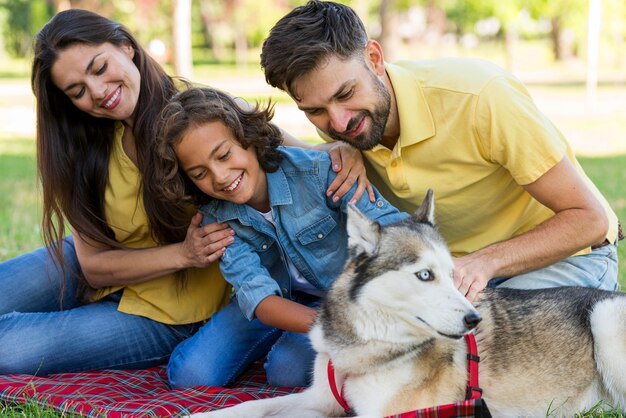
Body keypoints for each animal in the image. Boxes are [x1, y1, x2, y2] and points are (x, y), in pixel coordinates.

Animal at [193, 190, 624, 418]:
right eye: (425, 275)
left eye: (451, 274)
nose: (474, 319)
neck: (368, 345)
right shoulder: (317, 396)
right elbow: (250, 408)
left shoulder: (385, 413)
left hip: (604, 317)